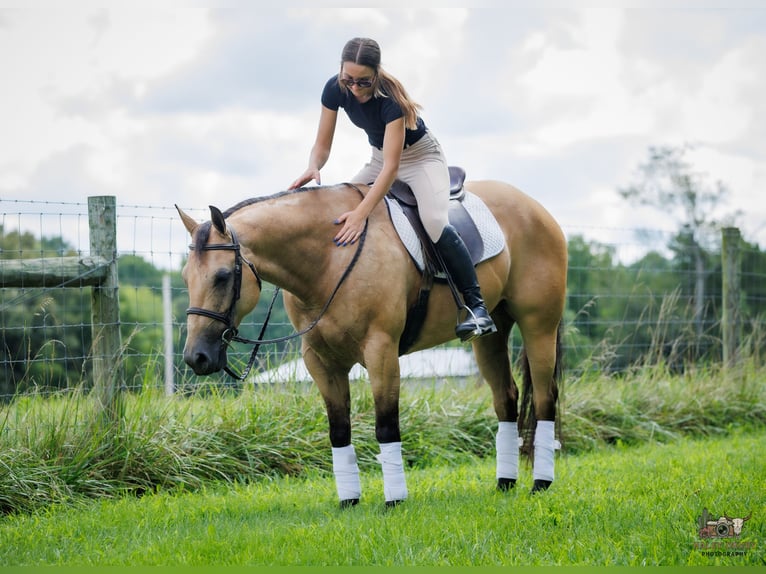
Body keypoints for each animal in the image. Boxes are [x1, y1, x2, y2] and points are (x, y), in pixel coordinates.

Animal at [176, 178, 567, 507]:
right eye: (185, 278)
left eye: (222, 276)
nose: (197, 358)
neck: (328, 258)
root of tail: (536, 208)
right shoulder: (321, 361)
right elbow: (338, 430)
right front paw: (349, 501)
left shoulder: (381, 352)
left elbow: (385, 425)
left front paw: (395, 501)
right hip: (490, 338)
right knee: (506, 399)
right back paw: (505, 483)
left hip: (538, 327)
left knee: (544, 398)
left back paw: (540, 484)